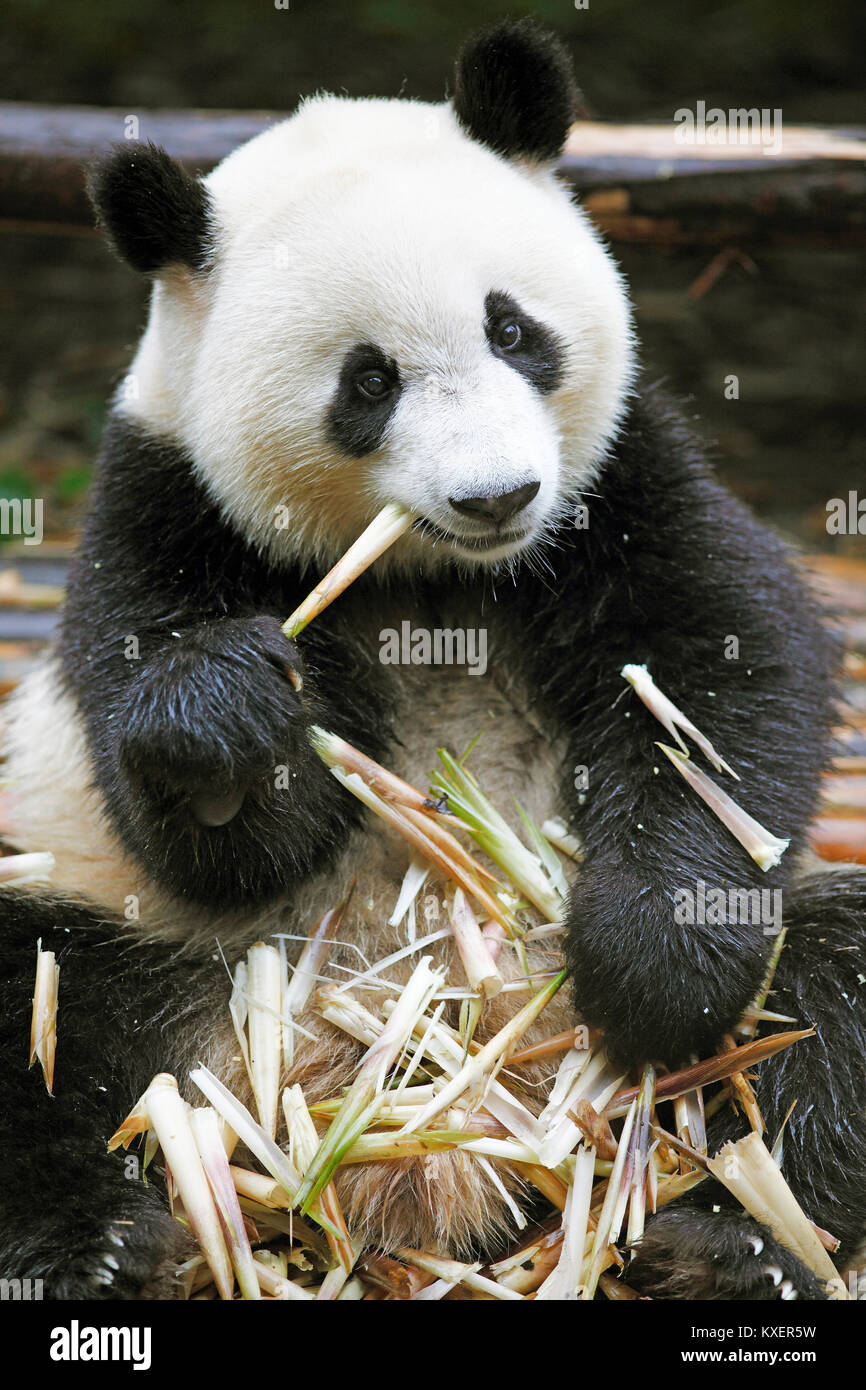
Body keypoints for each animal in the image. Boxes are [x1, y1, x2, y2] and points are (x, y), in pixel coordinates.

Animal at [1, 19, 866, 1301]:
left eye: (512, 328)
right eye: (368, 381)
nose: (496, 494)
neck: (436, 577)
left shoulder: (621, 483)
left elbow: (724, 678)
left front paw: (654, 969)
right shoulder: (163, 512)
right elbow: (207, 823)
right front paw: (225, 714)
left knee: (829, 989)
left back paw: (731, 1242)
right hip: (135, 940)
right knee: (40, 999)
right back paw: (93, 1249)